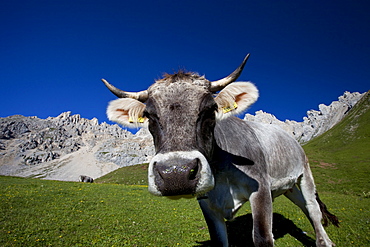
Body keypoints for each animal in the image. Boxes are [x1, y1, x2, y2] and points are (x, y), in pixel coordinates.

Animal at [102, 54, 340, 247]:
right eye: (149, 116)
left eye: (211, 109)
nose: (176, 174)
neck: (222, 171)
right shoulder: (207, 203)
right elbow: (219, 240)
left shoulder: (261, 189)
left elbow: (263, 237)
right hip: (288, 186)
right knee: (304, 206)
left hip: (305, 173)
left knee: (313, 208)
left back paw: (324, 242)